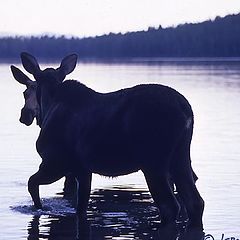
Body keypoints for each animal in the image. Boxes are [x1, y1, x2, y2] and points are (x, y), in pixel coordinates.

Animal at [10, 53, 203, 231]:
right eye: (25, 93)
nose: (25, 114)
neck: (48, 105)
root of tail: (187, 111)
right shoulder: (82, 170)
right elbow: (81, 209)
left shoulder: (55, 162)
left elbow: (32, 183)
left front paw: (39, 208)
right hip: (180, 156)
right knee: (195, 202)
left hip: (154, 162)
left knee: (170, 206)